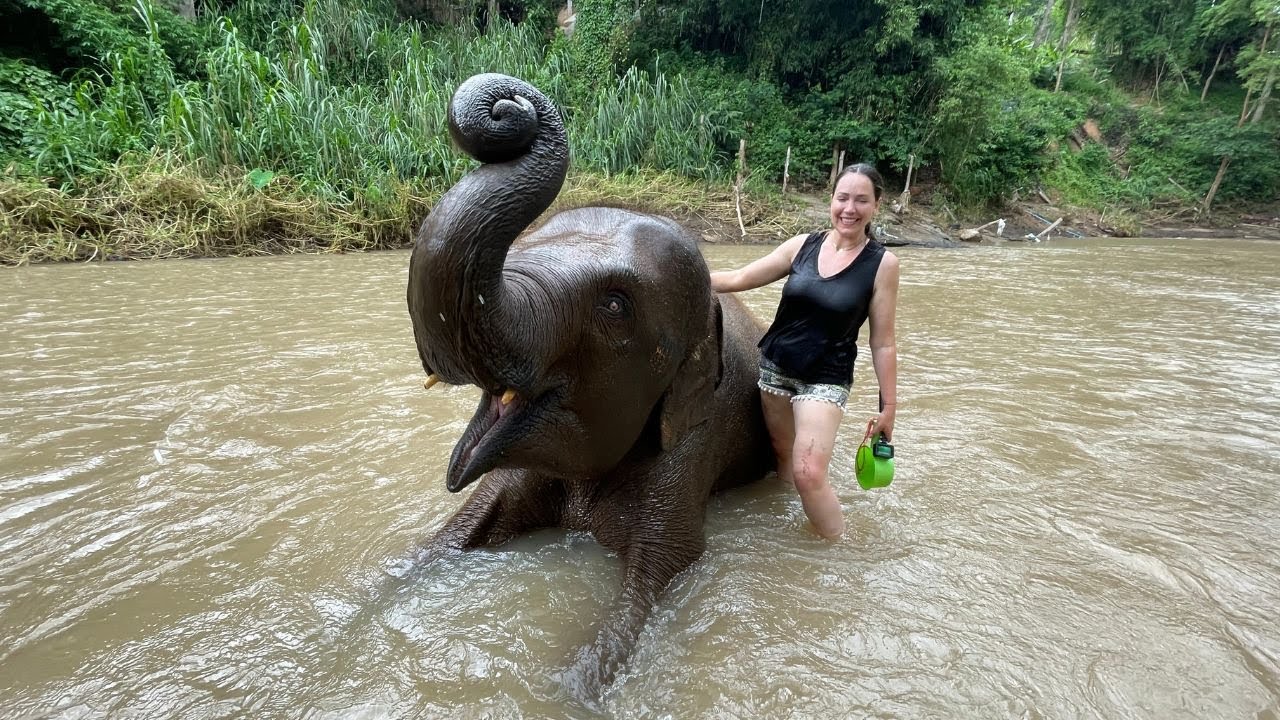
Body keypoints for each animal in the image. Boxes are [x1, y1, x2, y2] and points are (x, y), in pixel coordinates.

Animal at [405, 73, 775, 696]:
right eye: (518, 251)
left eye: (616, 306)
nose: (507, 107)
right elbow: (458, 529)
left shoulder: (696, 439)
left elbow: (665, 563)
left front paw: (567, 692)